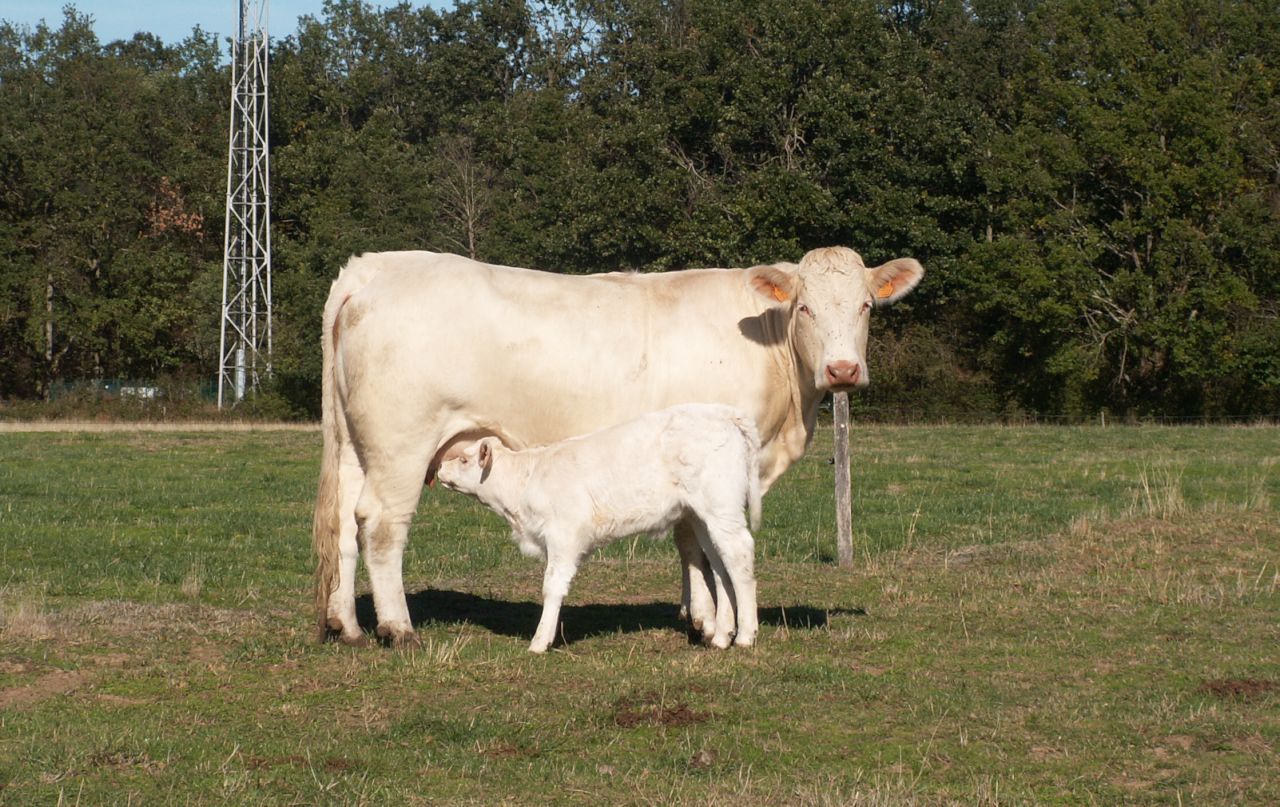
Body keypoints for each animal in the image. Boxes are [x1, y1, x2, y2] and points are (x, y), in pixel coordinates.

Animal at [436, 403, 763, 652]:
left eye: (463, 459)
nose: (439, 468)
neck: (525, 483)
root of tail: (725, 413)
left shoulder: (564, 538)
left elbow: (552, 587)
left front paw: (540, 641)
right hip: (703, 517)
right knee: (721, 565)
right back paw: (721, 636)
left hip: (721, 508)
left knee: (739, 556)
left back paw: (746, 635)